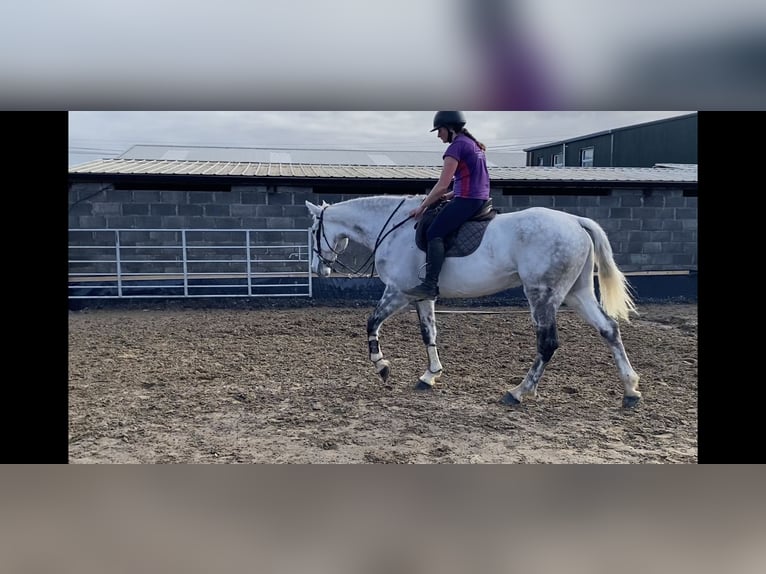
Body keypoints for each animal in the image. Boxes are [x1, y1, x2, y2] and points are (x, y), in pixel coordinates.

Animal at [306, 197, 640, 410]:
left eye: (311, 231)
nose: (318, 268)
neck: (394, 230)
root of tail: (576, 221)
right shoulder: (422, 296)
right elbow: (428, 333)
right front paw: (430, 375)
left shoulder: (398, 292)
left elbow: (372, 322)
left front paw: (382, 367)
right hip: (577, 293)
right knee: (609, 329)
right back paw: (630, 390)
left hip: (542, 295)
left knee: (547, 344)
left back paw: (518, 393)